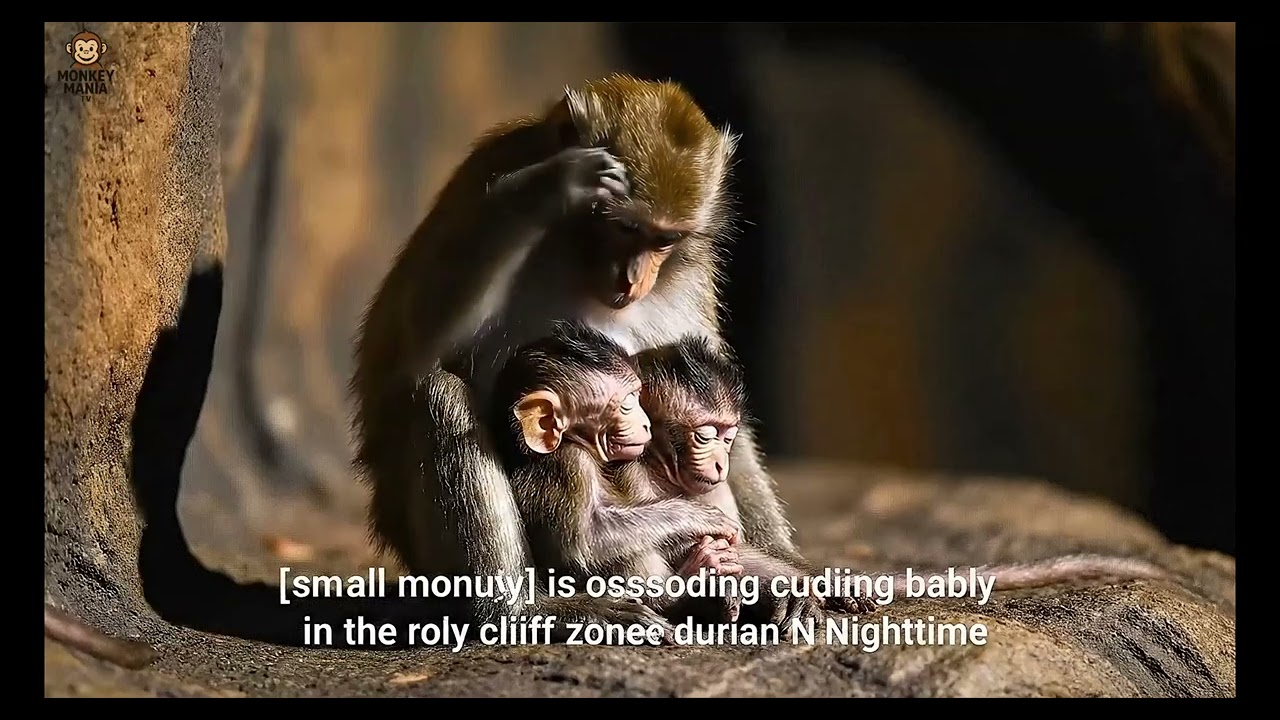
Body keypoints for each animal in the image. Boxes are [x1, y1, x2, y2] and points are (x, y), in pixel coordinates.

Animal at [351, 73, 810, 639]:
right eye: (625, 228)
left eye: (666, 239)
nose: (632, 280)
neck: (575, 252)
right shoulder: (478, 185)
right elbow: (415, 349)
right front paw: (551, 186)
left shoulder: (690, 272)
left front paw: (790, 574)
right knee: (438, 392)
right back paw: (517, 610)